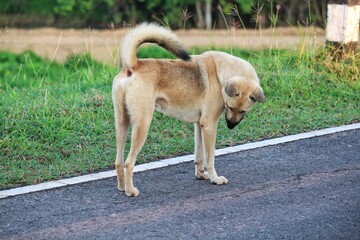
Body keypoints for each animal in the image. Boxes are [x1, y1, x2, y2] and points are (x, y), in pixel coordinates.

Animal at [112, 23, 264, 197]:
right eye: (231, 107)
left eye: (243, 111)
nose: (231, 126)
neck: (221, 75)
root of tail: (133, 65)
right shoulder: (210, 125)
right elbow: (210, 157)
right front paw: (215, 179)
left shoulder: (200, 125)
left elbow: (199, 155)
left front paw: (201, 175)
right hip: (142, 124)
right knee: (128, 162)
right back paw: (130, 191)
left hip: (122, 123)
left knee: (118, 162)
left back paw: (122, 187)